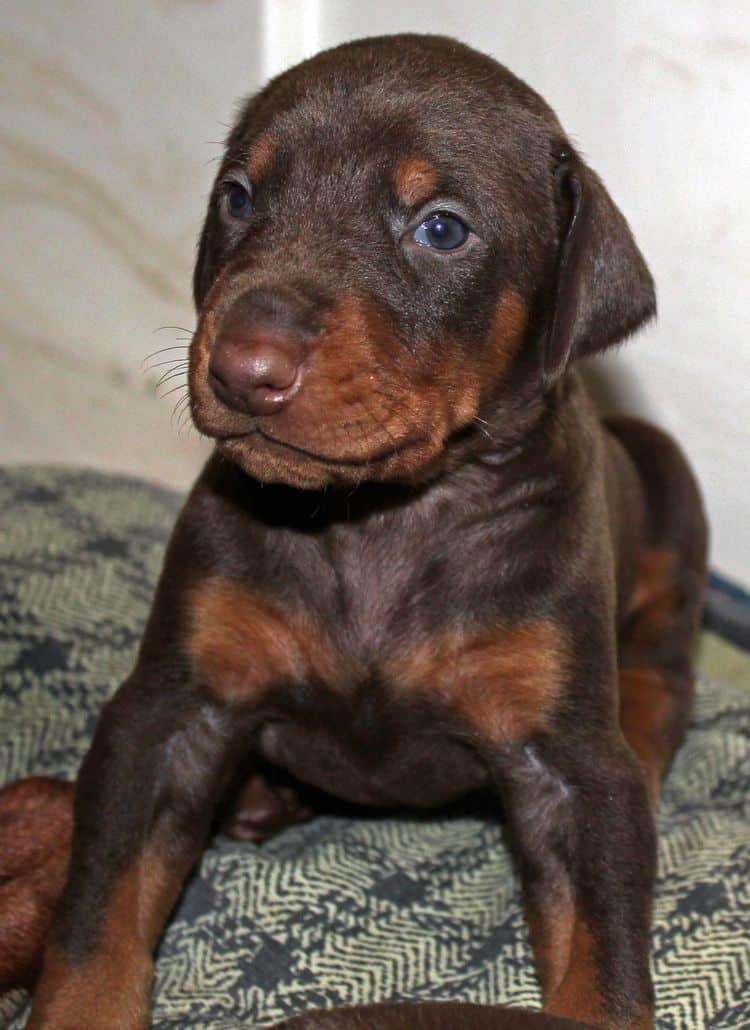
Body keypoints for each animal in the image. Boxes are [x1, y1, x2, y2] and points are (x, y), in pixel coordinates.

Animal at [0, 32, 704, 1030]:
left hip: (670, 501)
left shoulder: (569, 771)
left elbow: (603, 961)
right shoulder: (168, 712)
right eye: (239, 196)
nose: (243, 366)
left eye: (441, 228)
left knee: (659, 678)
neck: (384, 515)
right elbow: (96, 916)